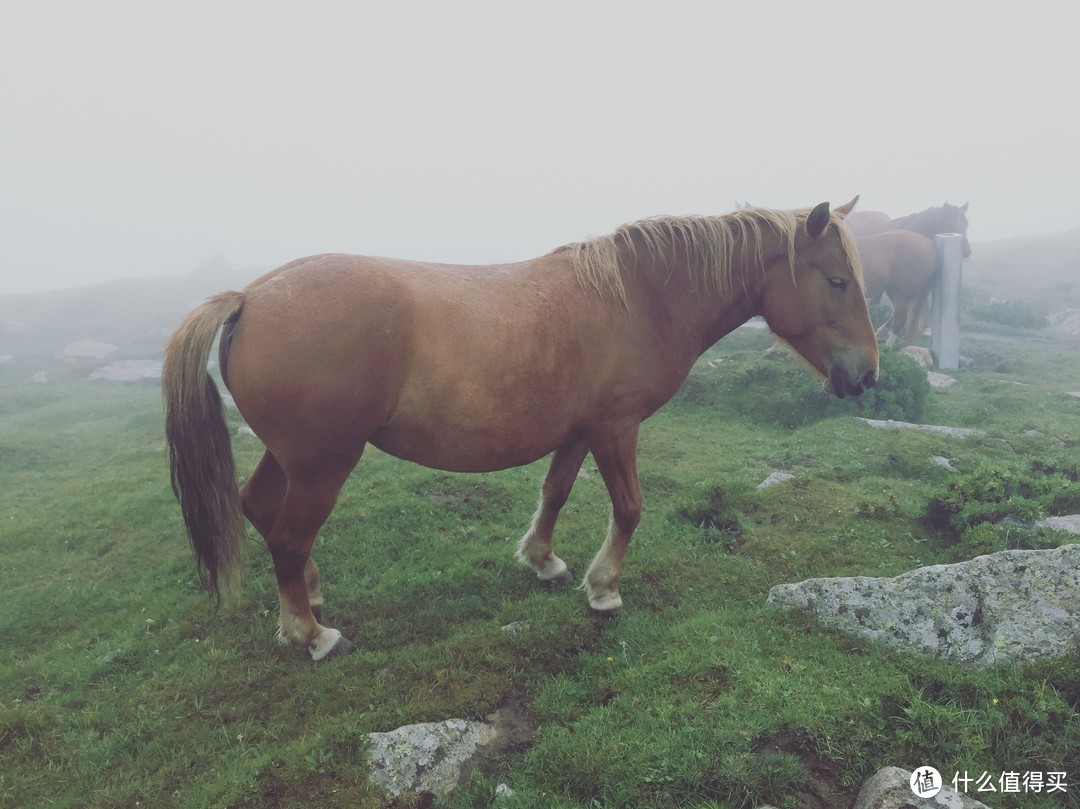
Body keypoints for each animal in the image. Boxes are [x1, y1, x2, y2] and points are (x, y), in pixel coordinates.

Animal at [166, 198, 876, 661]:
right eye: (838, 281)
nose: (867, 373)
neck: (638, 298)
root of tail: (250, 298)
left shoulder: (580, 430)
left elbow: (555, 492)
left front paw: (544, 561)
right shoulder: (615, 428)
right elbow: (629, 507)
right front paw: (604, 589)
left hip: (293, 456)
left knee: (261, 511)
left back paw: (310, 597)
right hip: (323, 462)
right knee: (288, 534)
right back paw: (311, 634)